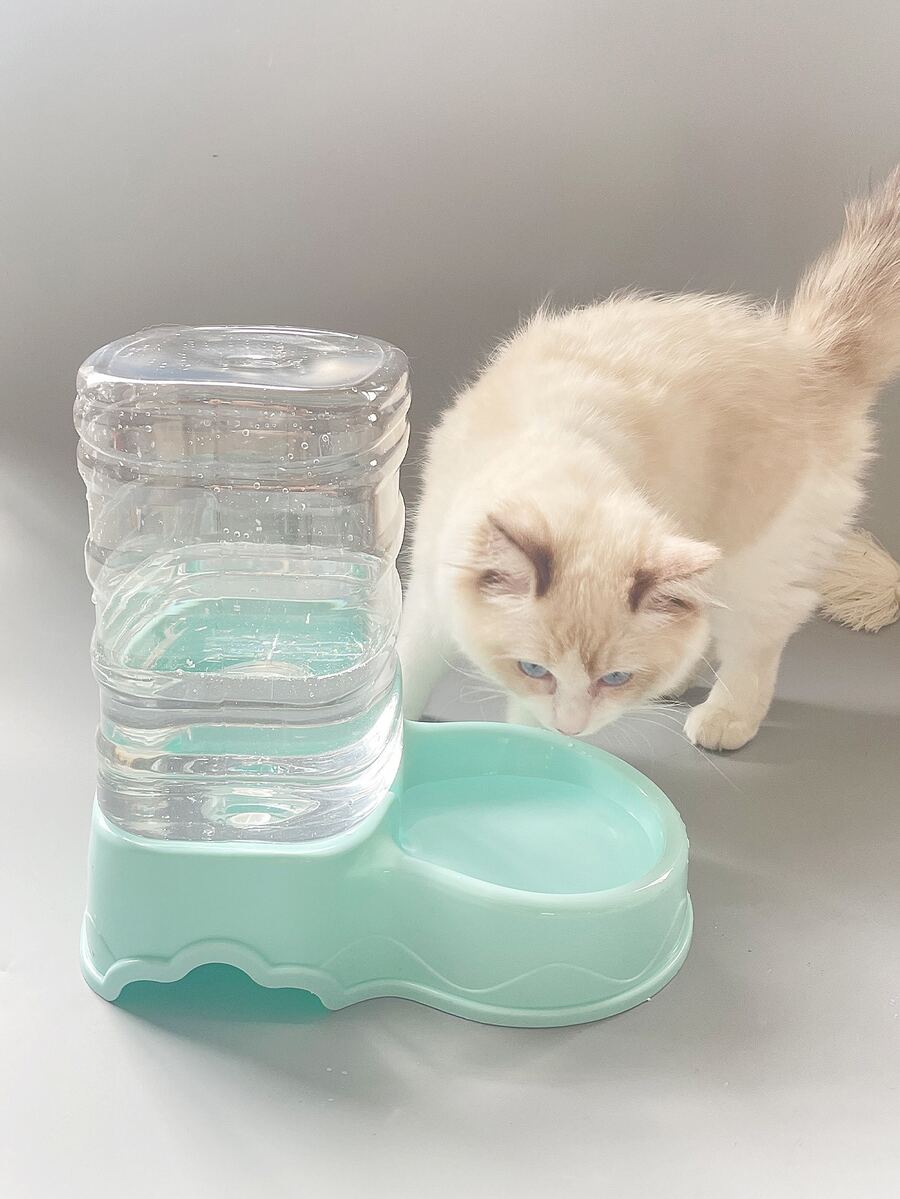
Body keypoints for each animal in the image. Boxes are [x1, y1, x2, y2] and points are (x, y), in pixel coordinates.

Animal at [399, 169, 900, 750]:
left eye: (614, 678)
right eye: (534, 669)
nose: (573, 725)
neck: (557, 452)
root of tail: (806, 355)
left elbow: (531, 735)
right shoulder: (429, 599)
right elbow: (402, 676)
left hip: (755, 561)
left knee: (757, 641)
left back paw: (724, 719)